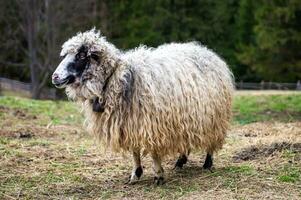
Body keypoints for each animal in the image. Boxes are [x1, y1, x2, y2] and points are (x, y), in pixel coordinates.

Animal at [51, 28, 233, 185]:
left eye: (81, 55)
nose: (55, 77)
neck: (116, 79)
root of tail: (205, 50)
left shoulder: (153, 124)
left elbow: (153, 152)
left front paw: (158, 175)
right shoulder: (129, 124)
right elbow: (134, 151)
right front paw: (135, 174)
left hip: (215, 116)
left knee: (212, 140)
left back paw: (207, 163)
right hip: (187, 116)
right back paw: (180, 161)